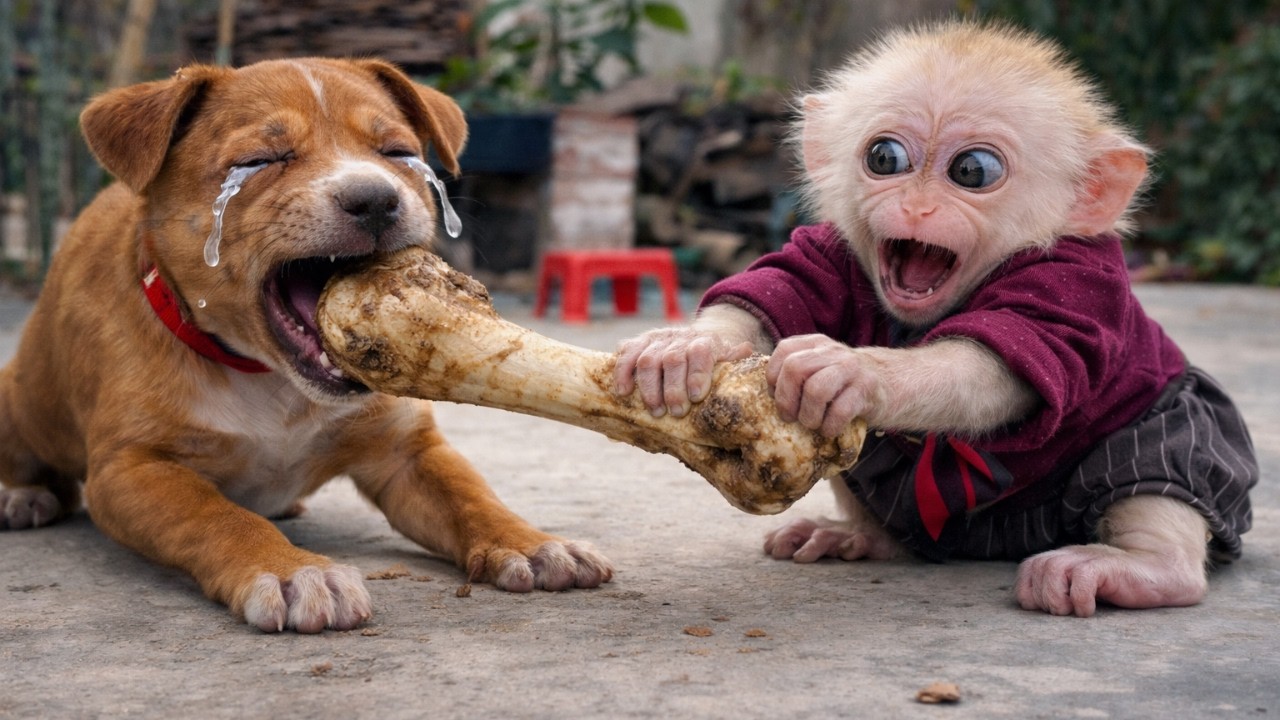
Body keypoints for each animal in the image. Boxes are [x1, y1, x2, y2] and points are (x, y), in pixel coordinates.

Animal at [611, 21, 1257, 617]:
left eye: (973, 171)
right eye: (885, 158)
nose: (916, 207)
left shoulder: (1074, 282)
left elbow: (995, 365)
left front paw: (853, 372)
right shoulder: (831, 249)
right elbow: (776, 286)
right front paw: (684, 349)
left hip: (1180, 424)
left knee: (1163, 451)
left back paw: (1138, 569)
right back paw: (862, 538)